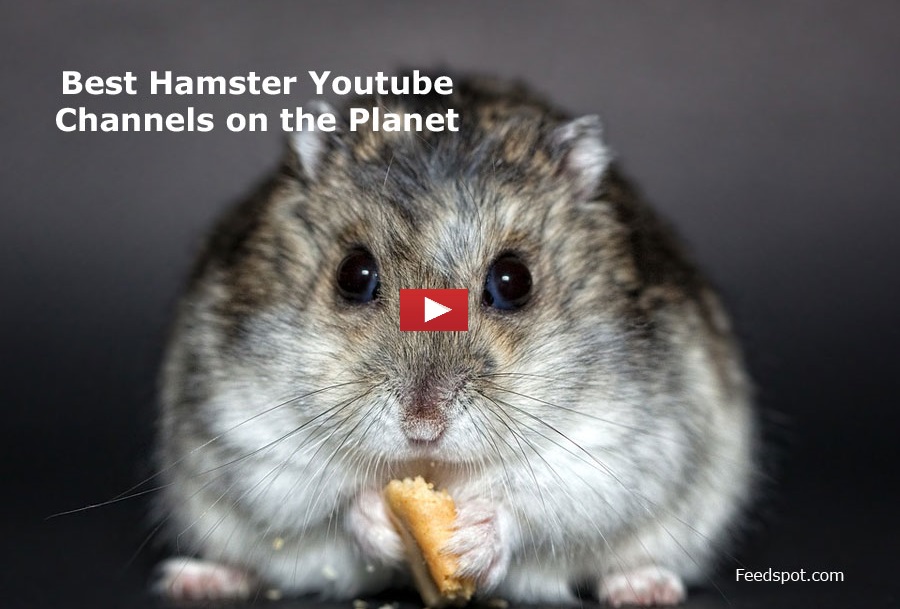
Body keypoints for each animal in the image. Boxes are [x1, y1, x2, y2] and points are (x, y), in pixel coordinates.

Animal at [153, 76, 756, 606]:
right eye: (353, 274)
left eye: (514, 281)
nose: (424, 427)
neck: (437, 469)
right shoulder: (249, 431)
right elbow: (330, 500)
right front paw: (380, 518)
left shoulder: (618, 446)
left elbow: (537, 504)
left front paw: (471, 539)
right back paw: (196, 579)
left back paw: (644, 588)